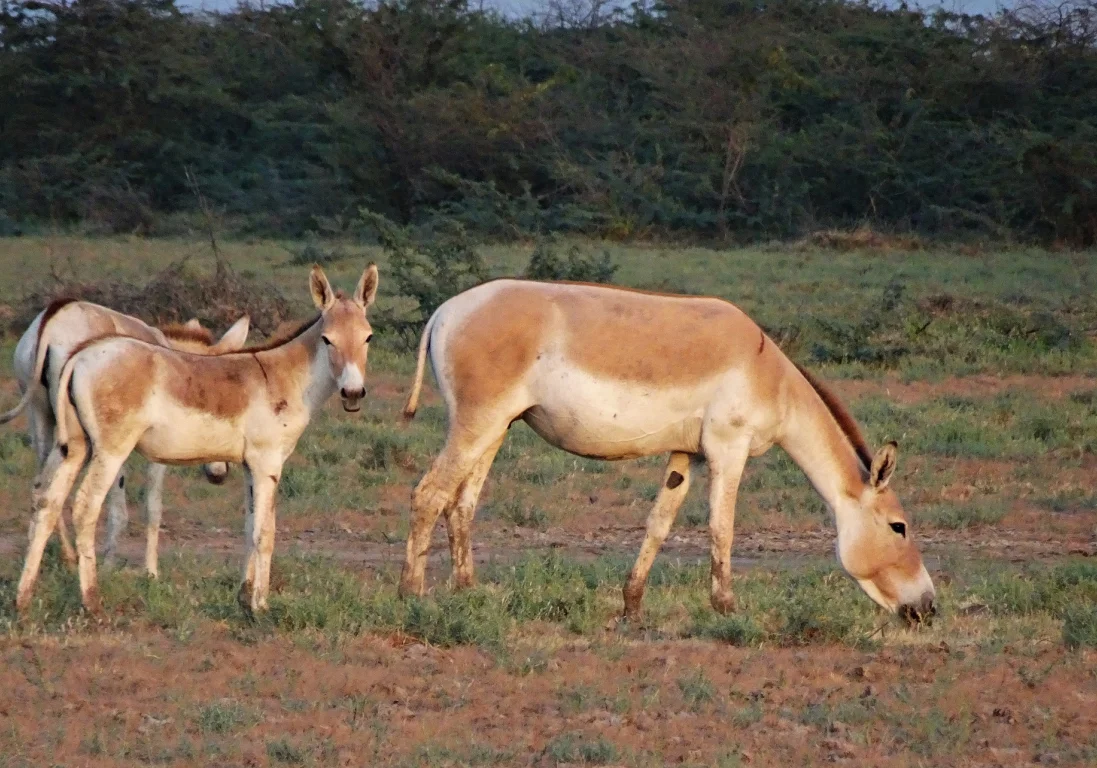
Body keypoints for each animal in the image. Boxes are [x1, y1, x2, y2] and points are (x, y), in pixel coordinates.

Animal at [12, 266, 379, 614]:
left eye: (368, 338)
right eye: (328, 340)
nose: (353, 394)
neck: (283, 378)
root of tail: (81, 353)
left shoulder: (250, 466)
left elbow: (249, 527)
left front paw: (244, 597)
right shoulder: (267, 463)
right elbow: (266, 532)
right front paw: (261, 606)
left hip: (71, 444)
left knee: (46, 500)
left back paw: (23, 599)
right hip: (110, 450)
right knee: (85, 507)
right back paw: (91, 601)